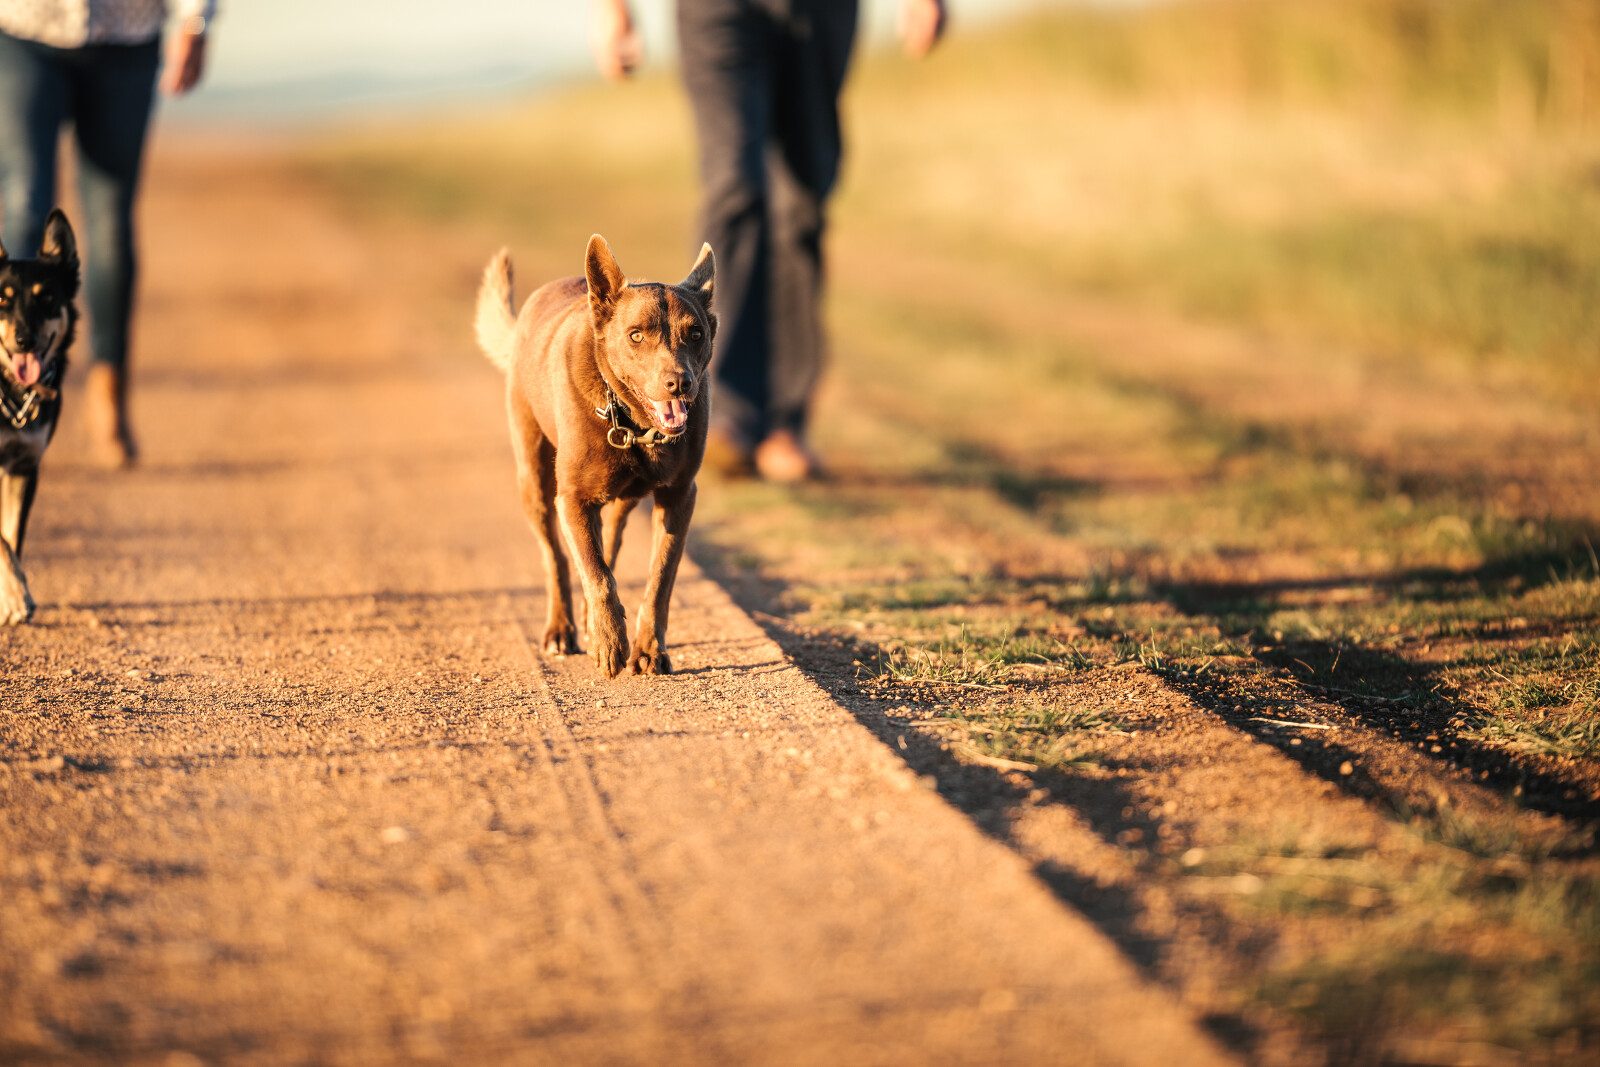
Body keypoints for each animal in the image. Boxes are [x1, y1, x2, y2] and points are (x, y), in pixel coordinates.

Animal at [475, 235, 716, 677]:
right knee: (556, 556)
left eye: (695, 334)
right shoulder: (572, 498)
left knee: (612, 544)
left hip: (623, 500)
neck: (632, 423)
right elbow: (594, 572)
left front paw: (648, 650)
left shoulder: (678, 496)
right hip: (534, 479)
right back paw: (562, 629)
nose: (679, 383)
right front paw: (608, 642)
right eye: (636, 336)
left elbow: (659, 577)